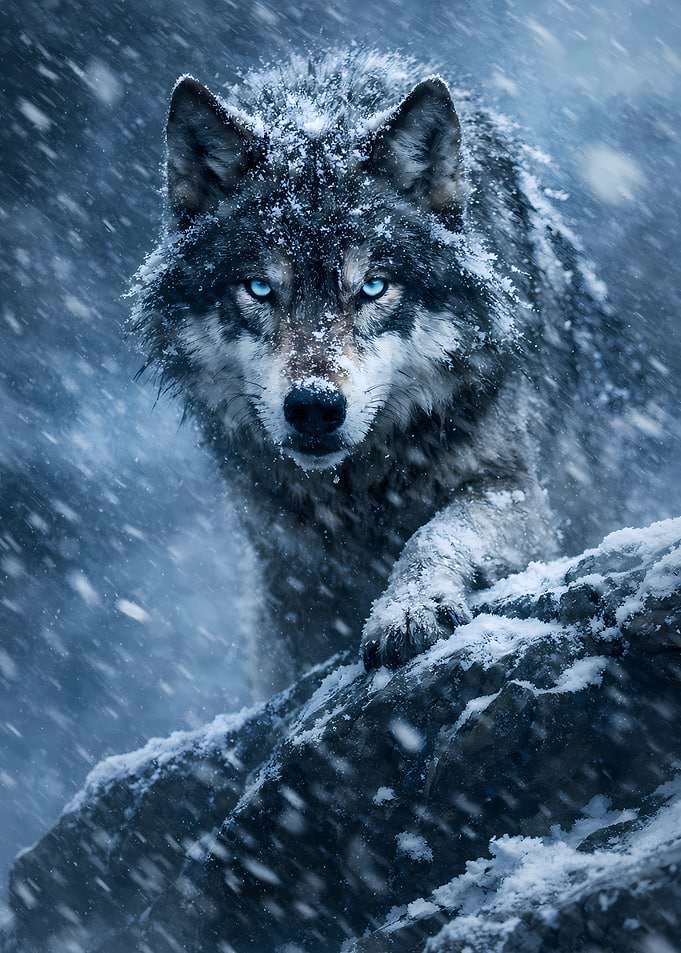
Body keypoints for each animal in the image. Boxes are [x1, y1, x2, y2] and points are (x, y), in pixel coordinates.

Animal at [132, 50, 629, 697]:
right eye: (260, 288)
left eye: (372, 287)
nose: (314, 406)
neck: (360, 488)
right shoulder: (286, 574)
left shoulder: (516, 491)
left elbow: (437, 532)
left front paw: (406, 611)